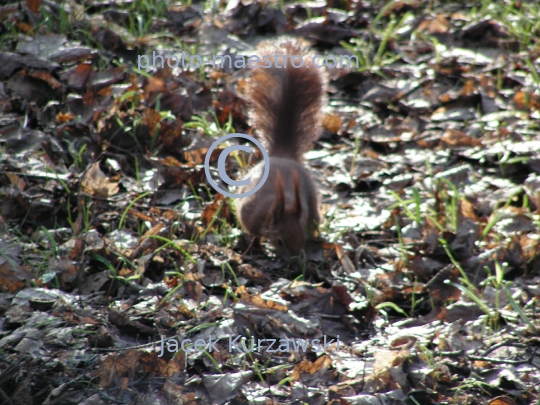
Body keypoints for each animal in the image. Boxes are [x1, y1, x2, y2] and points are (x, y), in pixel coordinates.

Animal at [236, 40, 324, 256]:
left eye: (302, 239)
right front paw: (254, 243)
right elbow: (253, 232)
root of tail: (283, 156)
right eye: (280, 242)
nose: (295, 259)